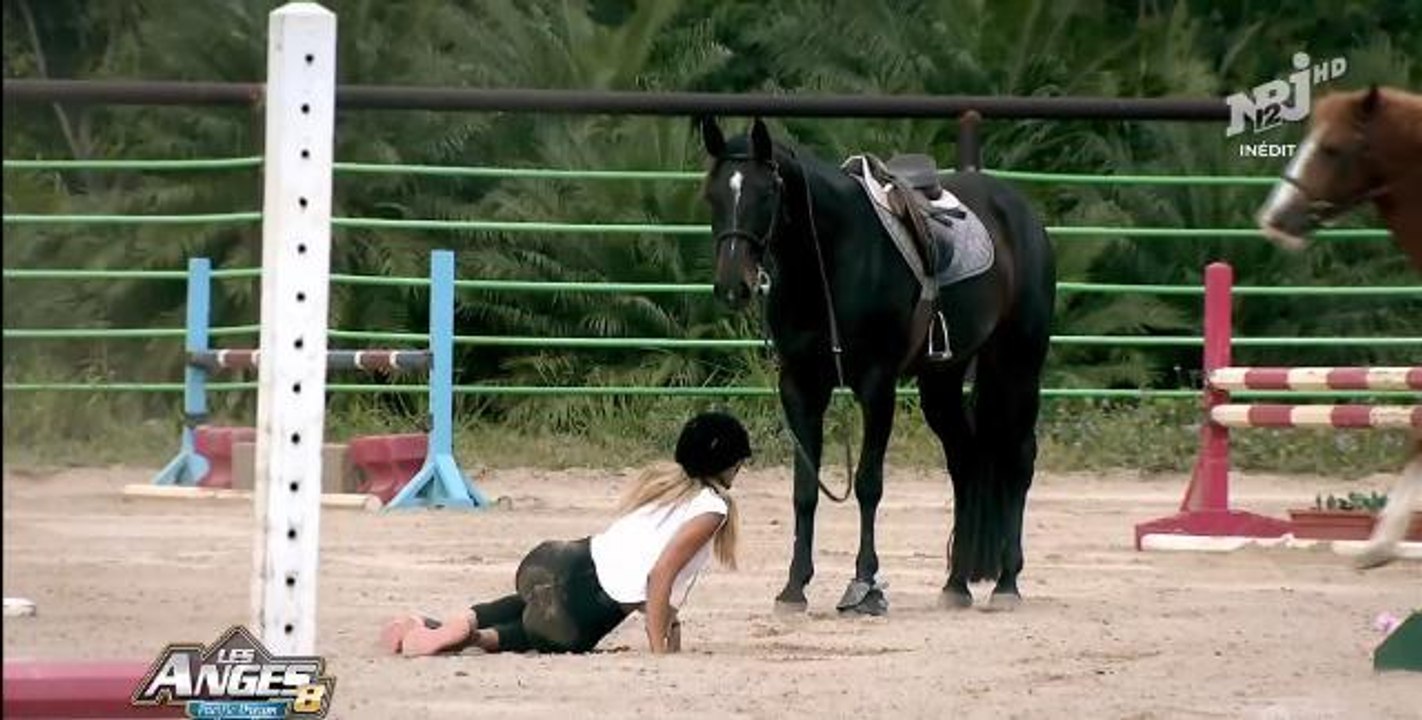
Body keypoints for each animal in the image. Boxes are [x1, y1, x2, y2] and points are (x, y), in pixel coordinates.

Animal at [698, 117, 1055, 613]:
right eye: (712, 194)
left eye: (766, 193)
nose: (733, 285)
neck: (831, 259)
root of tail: (1022, 213)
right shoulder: (800, 386)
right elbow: (804, 490)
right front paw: (793, 587)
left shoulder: (876, 385)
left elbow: (869, 485)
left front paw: (864, 584)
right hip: (942, 382)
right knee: (965, 460)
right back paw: (956, 584)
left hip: (1018, 366)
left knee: (1018, 460)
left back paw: (1006, 583)